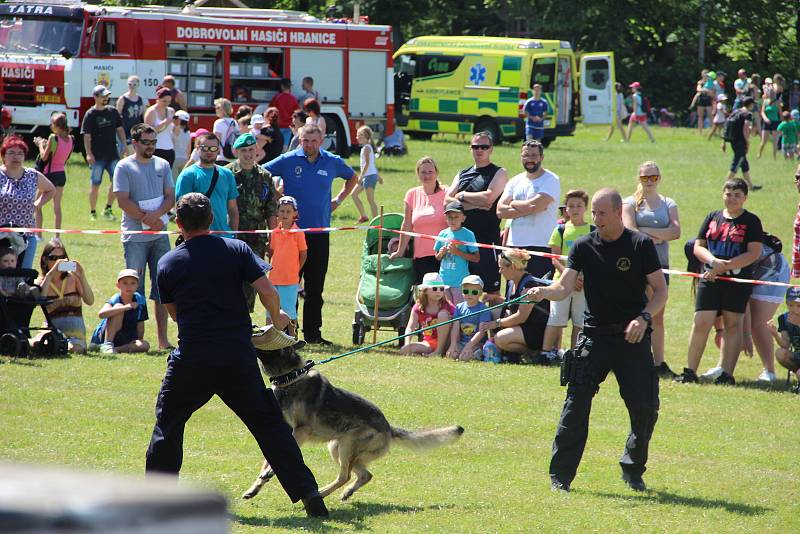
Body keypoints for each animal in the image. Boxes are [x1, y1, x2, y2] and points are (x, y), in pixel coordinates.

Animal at [247, 348, 466, 502]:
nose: (253, 328)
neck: (291, 378)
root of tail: (388, 427)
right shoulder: (282, 431)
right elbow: (268, 459)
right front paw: (256, 486)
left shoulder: (300, 431)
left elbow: (275, 459)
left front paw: (267, 474)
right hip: (337, 447)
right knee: (365, 475)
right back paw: (346, 492)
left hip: (346, 444)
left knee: (345, 475)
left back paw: (322, 492)